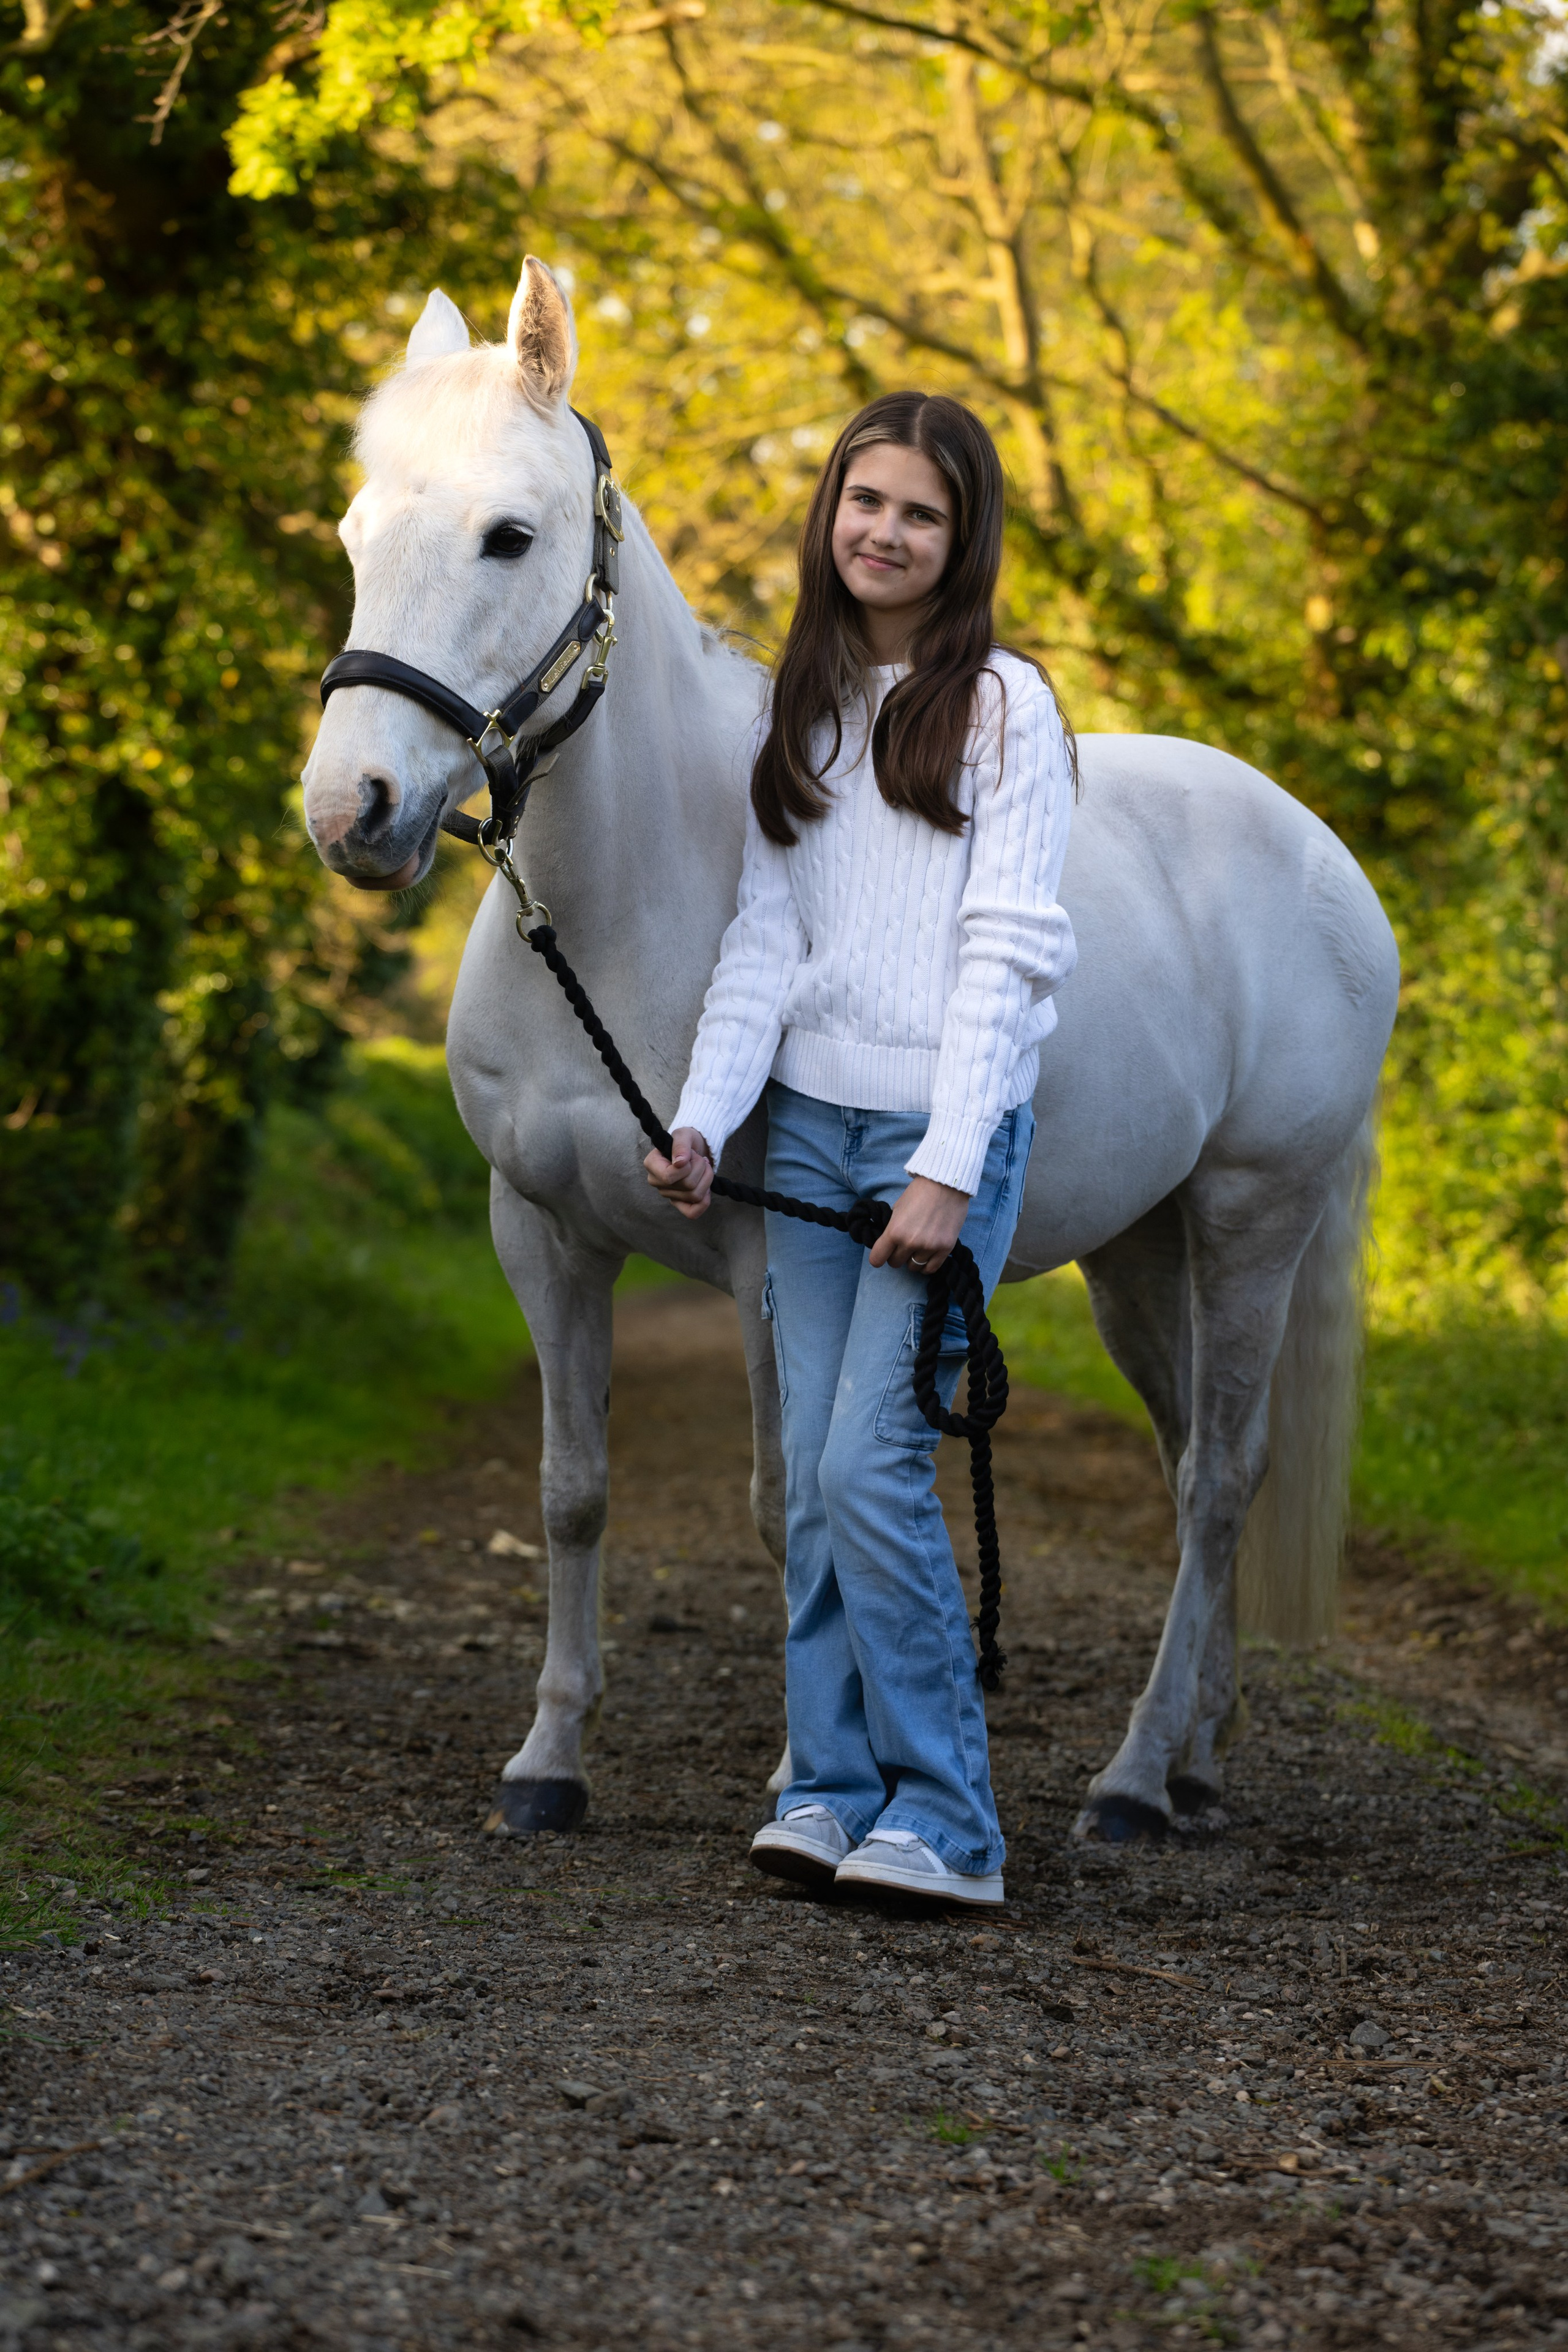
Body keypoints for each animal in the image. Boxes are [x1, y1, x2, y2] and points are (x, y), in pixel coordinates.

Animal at [301, 258, 1399, 1848]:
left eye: (508, 536)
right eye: (355, 533)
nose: (353, 812)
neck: (632, 899)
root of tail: (1320, 856)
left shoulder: (772, 1251)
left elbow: (788, 1504)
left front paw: (797, 1776)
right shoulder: (542, 1234)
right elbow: (572, 1489)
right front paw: (548, 1758)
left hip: (1253, 1218)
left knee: (1213, 1478)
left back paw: (1135, 1780)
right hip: (1144, 1251)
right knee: (1205, 1457)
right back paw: (1195, 1750)